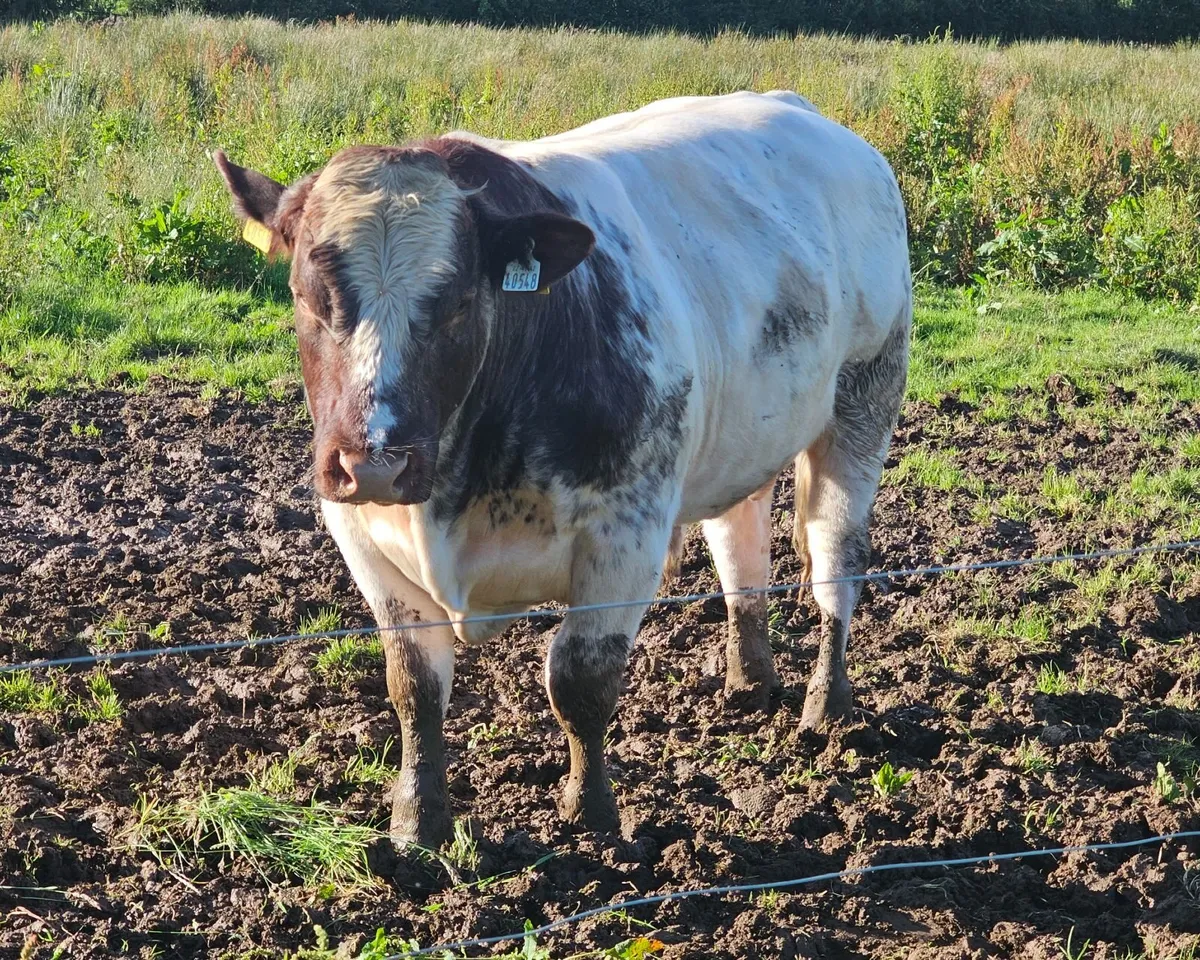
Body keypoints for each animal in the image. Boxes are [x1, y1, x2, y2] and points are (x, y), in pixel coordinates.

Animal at [214, 90, 911, 849]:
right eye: (307, 296)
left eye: (457, 304)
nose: (374, 462)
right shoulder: (363, 537)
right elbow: (414, 687)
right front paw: (416, 824)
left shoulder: (625, 536)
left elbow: (580, 680)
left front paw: (592, 812)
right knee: (741, 548)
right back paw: (748, 680)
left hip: (865, 404)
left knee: (836, 560)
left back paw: (825, 705)